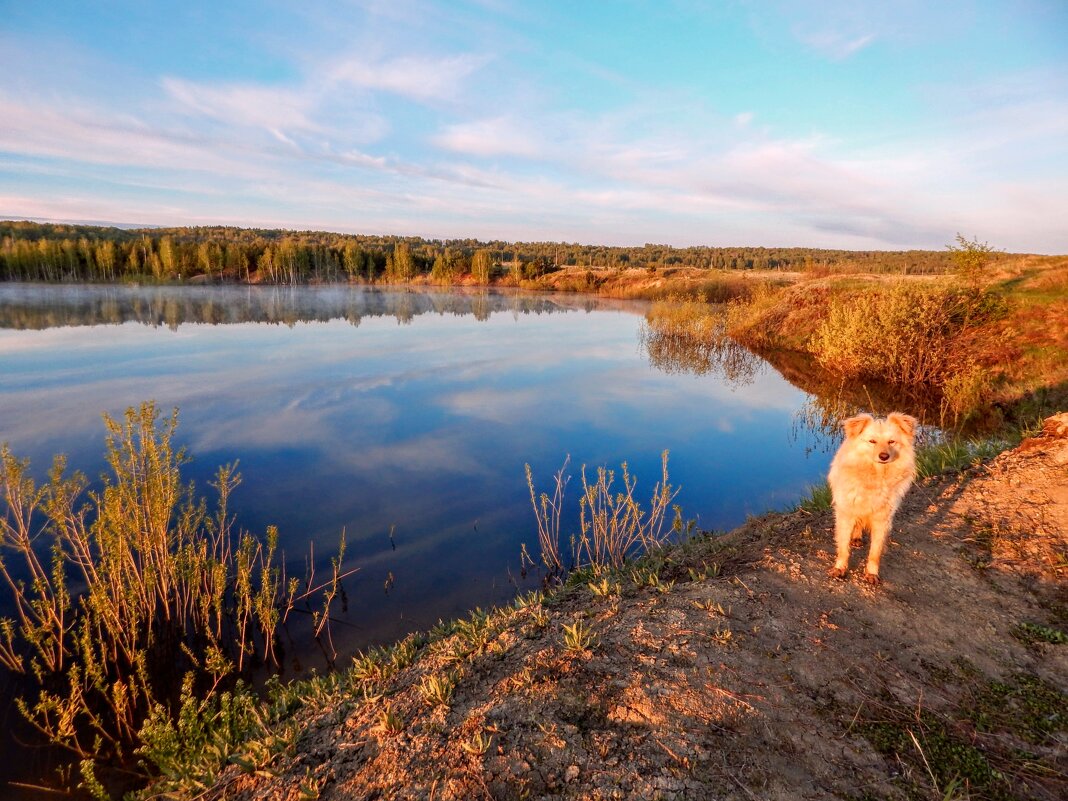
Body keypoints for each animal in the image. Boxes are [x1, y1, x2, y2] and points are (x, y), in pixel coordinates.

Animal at [824, 414, 918, 585]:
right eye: (872, 441)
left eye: (891, 441)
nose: (884, 456)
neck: (876, 475)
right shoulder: (846, 512)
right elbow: (843, 546)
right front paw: (840, 568)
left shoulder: (883, 519)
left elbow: (875, 551)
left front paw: (872, 574)